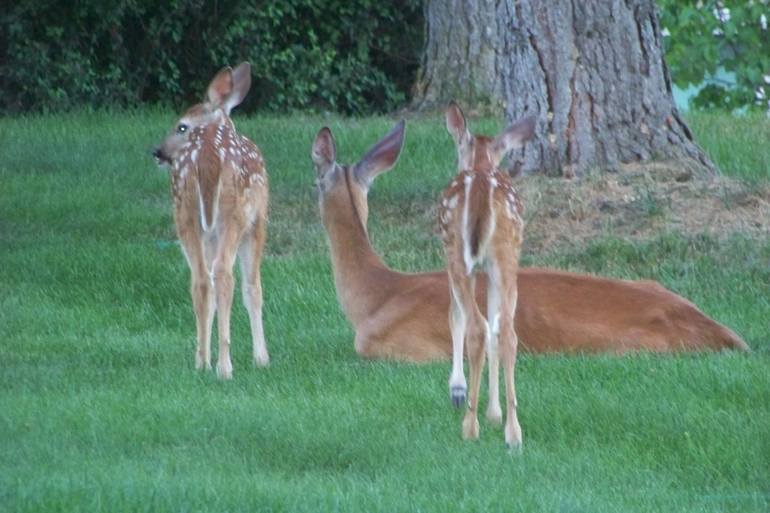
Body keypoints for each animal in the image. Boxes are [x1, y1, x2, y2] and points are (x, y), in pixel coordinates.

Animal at [152, 62, 268, 378]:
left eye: (181, 126)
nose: (157, 152)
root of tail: (206, 157)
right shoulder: (258, 221)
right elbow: (253, 288)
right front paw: (262, 358)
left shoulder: (210, 232)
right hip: (234, 213)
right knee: (224, 275)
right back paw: (224, 366)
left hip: (185, 212)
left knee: (202, 279)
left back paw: (202, 362)